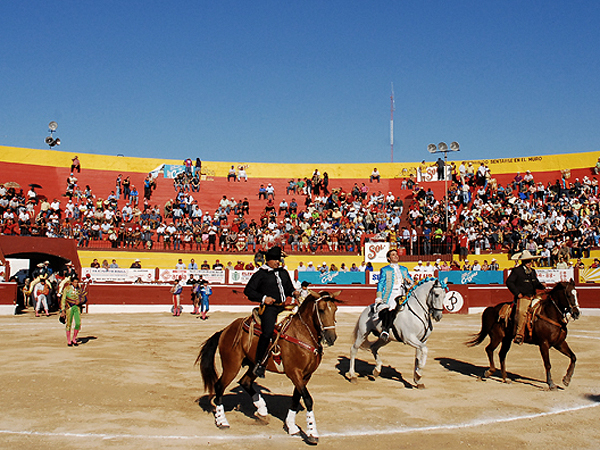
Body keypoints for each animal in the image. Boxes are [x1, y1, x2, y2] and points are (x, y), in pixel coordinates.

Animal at [196, 290, 340, 444]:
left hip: (254, 365)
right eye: (321, 310)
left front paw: (291, 427)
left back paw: (262, 410)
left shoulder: (306, 375)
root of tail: (226, 329)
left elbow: (296, 398)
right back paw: (222, 421)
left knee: (245, 381)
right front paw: (312, 433)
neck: (302, 332)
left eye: (335, 309)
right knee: (219, 386)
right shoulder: (294, 372)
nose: (331, 338)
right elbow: (307, 399)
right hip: (231, 365)